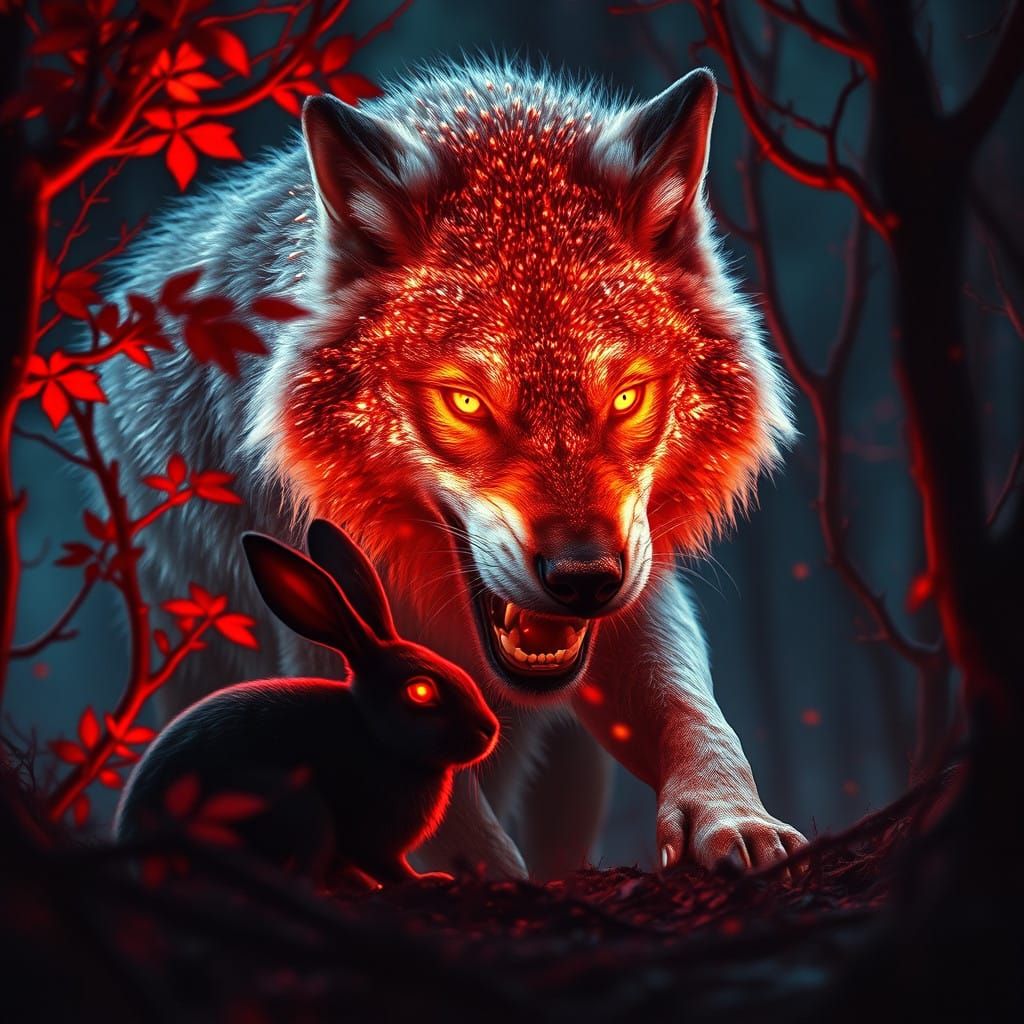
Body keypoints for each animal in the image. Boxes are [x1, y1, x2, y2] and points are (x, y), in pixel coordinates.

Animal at [97, 59, 804, 879]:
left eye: (627, 396)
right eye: (465, 401)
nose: (584, 578)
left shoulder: (640, 589)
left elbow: (694, 715)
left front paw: (733, 820)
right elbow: (451, 819)